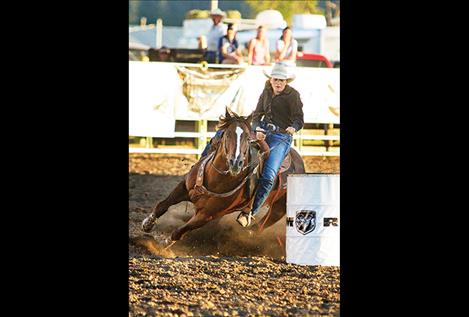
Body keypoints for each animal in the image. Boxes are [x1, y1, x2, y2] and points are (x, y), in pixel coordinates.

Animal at [141, 107, 306, 241]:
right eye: (227, 135)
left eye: (248, 138)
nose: (235, 163)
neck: (216, 179)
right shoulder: (183, 187)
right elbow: (162, 205)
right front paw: (147, 224)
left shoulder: (207, 215)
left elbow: (180, 231)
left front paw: (166, 244)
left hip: (279, 208)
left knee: (263, 224)